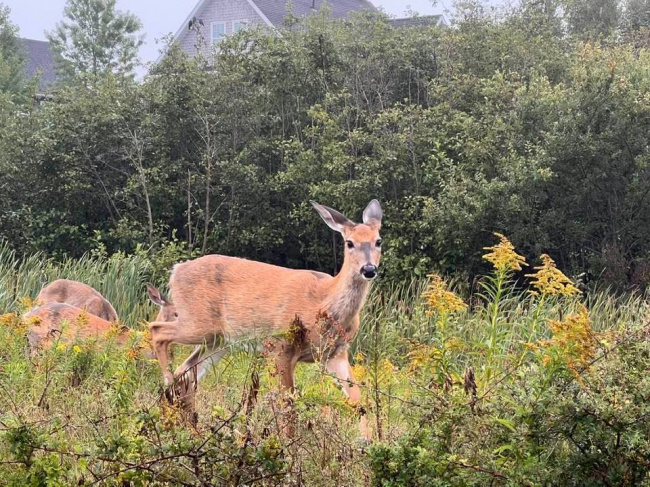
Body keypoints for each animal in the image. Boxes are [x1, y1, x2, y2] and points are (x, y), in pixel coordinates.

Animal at [147, 198, 380, 438]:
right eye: (349, 243)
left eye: (378, 241)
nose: (369, 269)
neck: (324, 302)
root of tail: (175, 270)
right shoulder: (280, 346)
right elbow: (288, 403)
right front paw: (288, 443)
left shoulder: (335, 353)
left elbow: (358, 398)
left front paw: (367, 441)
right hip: (197, 324)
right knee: (157, 331)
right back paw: (168, 391)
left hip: (217, 341)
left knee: (185, 372)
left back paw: (186, 422)